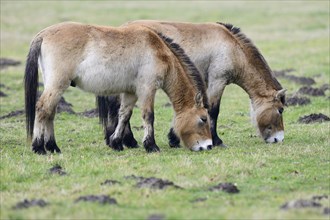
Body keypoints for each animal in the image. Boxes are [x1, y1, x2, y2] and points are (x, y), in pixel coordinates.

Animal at [24, 21, 213, 154]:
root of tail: (43, 34)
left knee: (50, 112)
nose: (209, 145)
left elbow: (124, 115)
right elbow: (148, 116)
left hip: (54, 86)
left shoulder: (131, 92)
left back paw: (53, 147)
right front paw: (151, 146)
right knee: (42, 109)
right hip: (57, 85)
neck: (157, 49)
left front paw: (116, 143)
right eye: (203, 119)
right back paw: (39, 147)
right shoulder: (147, 89)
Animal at [96, 20, 284, 149]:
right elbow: (213, 111)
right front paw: (217, 141)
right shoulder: (217, 81)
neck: (232, 47)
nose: (279, 138)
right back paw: (126, 141)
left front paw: (174, 138)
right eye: (281, 110)